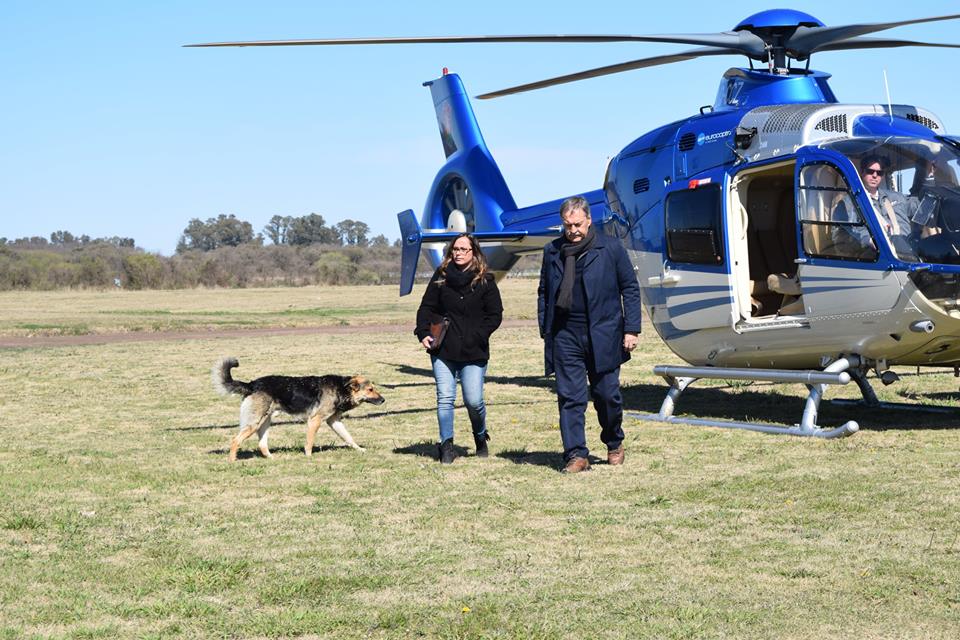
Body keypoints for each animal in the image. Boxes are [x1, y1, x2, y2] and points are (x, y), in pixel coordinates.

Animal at [212, 357, 384, 461]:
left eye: (374, 388)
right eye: (370, 389)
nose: (383, 400)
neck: (342, 388)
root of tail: (251, 384)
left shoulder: (334, 421)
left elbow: (348, 437)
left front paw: (359, 449)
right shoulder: (315, 421)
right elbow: (309, 442)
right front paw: (308, 457)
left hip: (265, 422)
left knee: (262, 445)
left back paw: (272, 458)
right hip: (254, 423)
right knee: (235, 440)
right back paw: (232, 461)